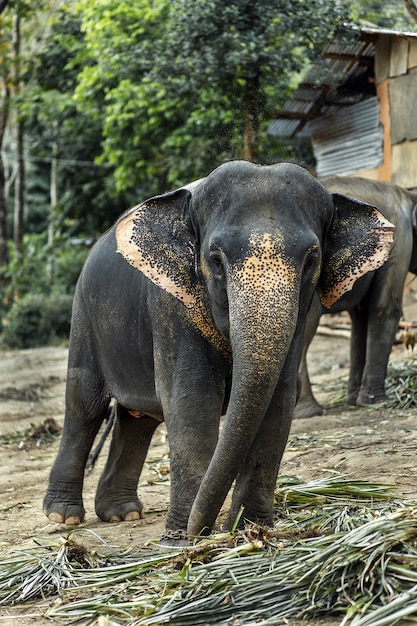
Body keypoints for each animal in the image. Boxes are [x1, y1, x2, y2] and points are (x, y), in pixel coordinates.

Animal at [43, 161, 394, 540]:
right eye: (215, 259)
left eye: (311, 259)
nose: (203, 529)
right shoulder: (171, 305)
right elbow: (191, 400)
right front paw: (184, 539)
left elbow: (278, 401)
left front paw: (251, 529)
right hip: (84, 316)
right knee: (84, 404)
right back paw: (64, 517)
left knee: (138, 418)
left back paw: (122, 513)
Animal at [292, 174, 416, 420]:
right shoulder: (400, 238)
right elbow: (384, 309)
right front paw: (376, 402)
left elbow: (360, 320)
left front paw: (353, 400)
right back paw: (308, 412)